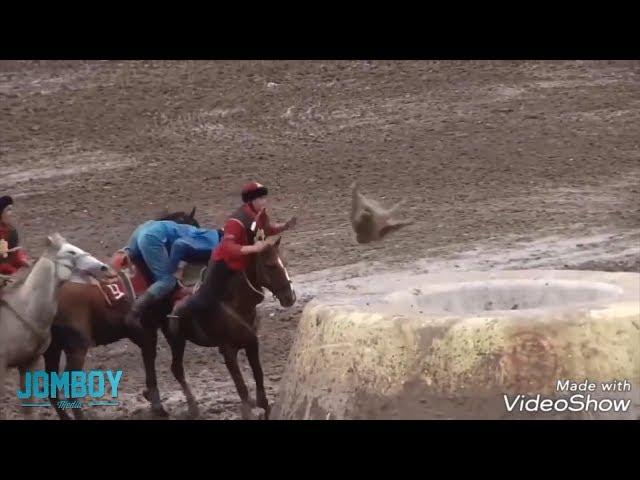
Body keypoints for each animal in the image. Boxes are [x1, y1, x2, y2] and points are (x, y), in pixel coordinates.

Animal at [44, 208, 202, 418]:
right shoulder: (163, 328)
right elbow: (171, 367)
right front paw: (176, 406)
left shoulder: (146, 333)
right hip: (76, 349)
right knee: (68, 388)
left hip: (52, 350)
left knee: (51, 389)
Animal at [165, 234, 296, 418]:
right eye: (269, 265)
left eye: (284, 261)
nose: (290, 297)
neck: (236, 305)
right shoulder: (228, 350)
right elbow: (241, 386)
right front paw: (248, 411)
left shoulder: (251, 343)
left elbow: (259, 376)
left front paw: (263, 406)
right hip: (176, 341)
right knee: (177, 369)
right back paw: (192, 407)